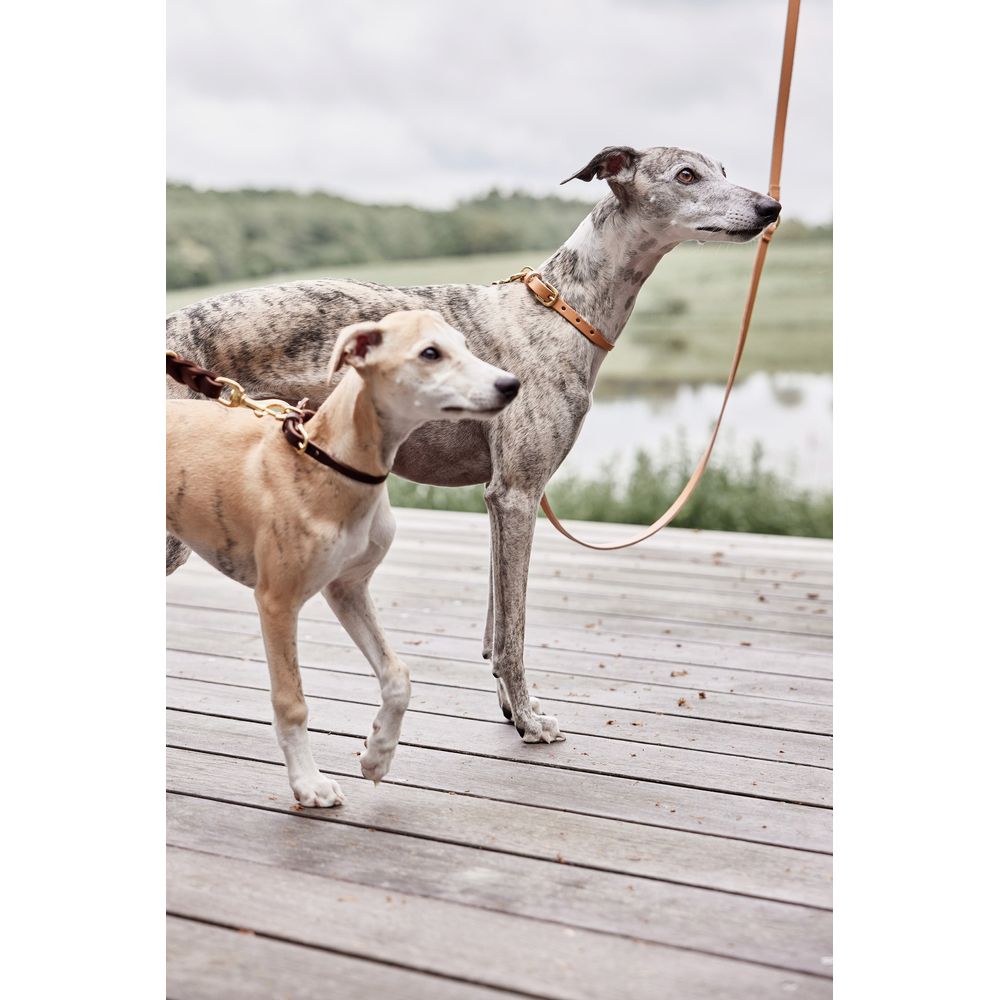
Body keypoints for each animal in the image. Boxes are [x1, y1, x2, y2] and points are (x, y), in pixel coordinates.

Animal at [167, 308, 520, 808]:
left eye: (465, 346)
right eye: (430, 353)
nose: (512, 385)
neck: (328, 461)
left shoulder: (347, 588)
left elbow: (398, 675)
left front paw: (378, 755)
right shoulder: (276, 602)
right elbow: (292, 702)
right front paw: (308, 783)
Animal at [168, 146, 780, 744]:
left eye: (723, 169)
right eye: (686, 175)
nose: (771, 208)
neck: (564, 312)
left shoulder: (498, 497)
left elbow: (495, 620)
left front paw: (513, 709)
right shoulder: (517, 494)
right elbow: (513, 632)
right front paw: (531, 720)